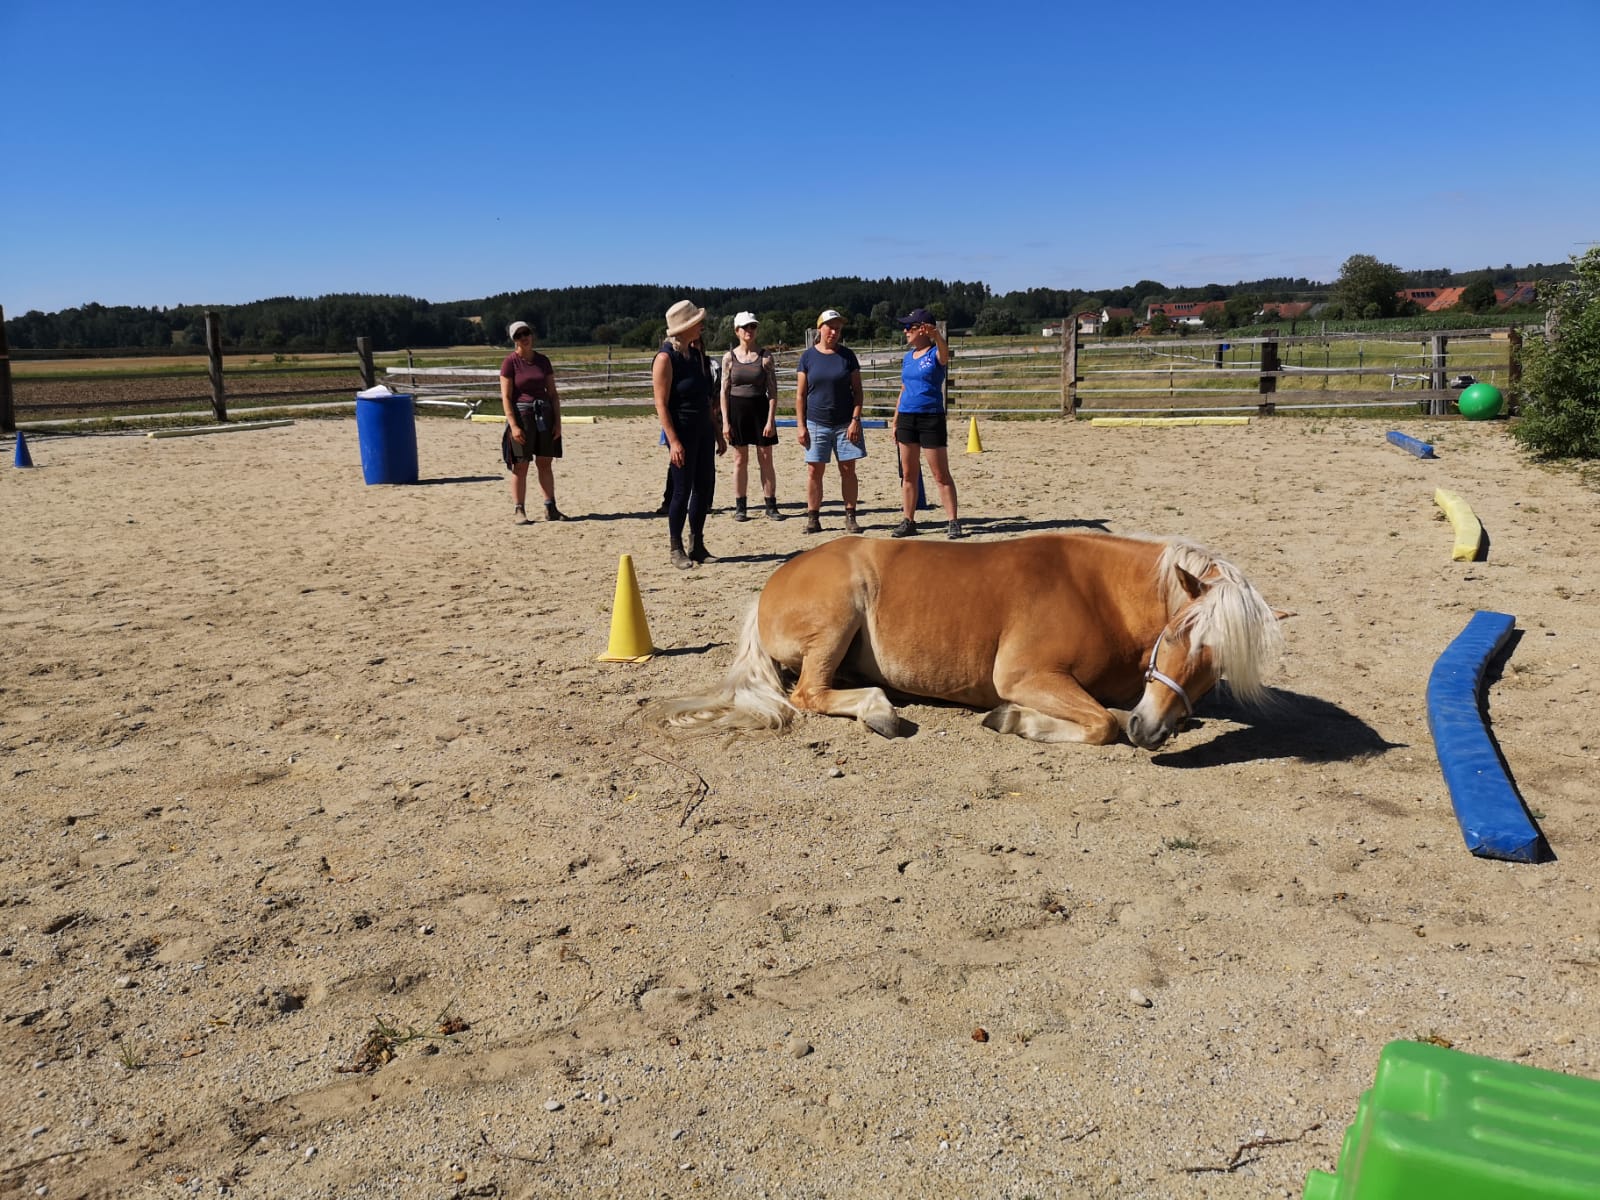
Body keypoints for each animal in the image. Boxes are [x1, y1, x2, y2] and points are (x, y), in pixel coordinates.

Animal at [648, 531, 1285, 750]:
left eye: (1218, 667)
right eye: (1173, 634)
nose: (1148, 734)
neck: (1098, 593)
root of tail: (769, 587)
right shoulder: (1026, 677)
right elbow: (1100, 723)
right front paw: (1012, 720)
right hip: (838, 615)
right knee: (807, 694)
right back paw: (881, 713)